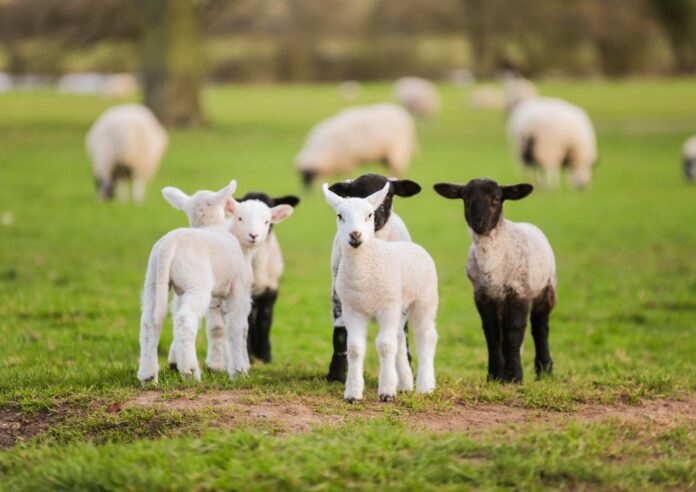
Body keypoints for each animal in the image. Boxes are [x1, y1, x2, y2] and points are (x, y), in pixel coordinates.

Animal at [137, 180, 253, 384]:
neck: (210, 225)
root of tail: (169, 246)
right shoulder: (237, 288)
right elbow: (236, 326)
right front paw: (239, 371)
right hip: (195, 283)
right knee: (184, 320)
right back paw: (190, 372)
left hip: (153, 281)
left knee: (149, 322)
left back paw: (148, 376)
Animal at [162, 188, 297, 370]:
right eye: (240, 218)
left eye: (267, 221)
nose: (254, 235)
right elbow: (230, 325)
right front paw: (233, 360)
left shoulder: (268, 290)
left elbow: (263, 319)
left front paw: (263, 356)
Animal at [323, 182, 439, 402]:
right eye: (339, 215)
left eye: (369, 215)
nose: (355, 235)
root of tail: (415, 247)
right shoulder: (352, 309)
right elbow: (355, 349)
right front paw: (353, 393)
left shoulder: (387, 306)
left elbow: (385, 346)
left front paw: (386, 392)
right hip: (399, 308)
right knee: (400, 339)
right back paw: (404, 384)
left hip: (425, 299)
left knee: (425, 336)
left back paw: (425, 386)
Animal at [433, 178, 556, 383]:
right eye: (466, 197)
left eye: (496, 199)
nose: (479, 222)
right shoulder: (482, 295)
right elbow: (492, 335)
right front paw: (494, 376)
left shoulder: (518, 292)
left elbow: (513, 333)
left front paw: (514, 377)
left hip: (547, 287)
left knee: (540, 328)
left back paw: (545, 370)